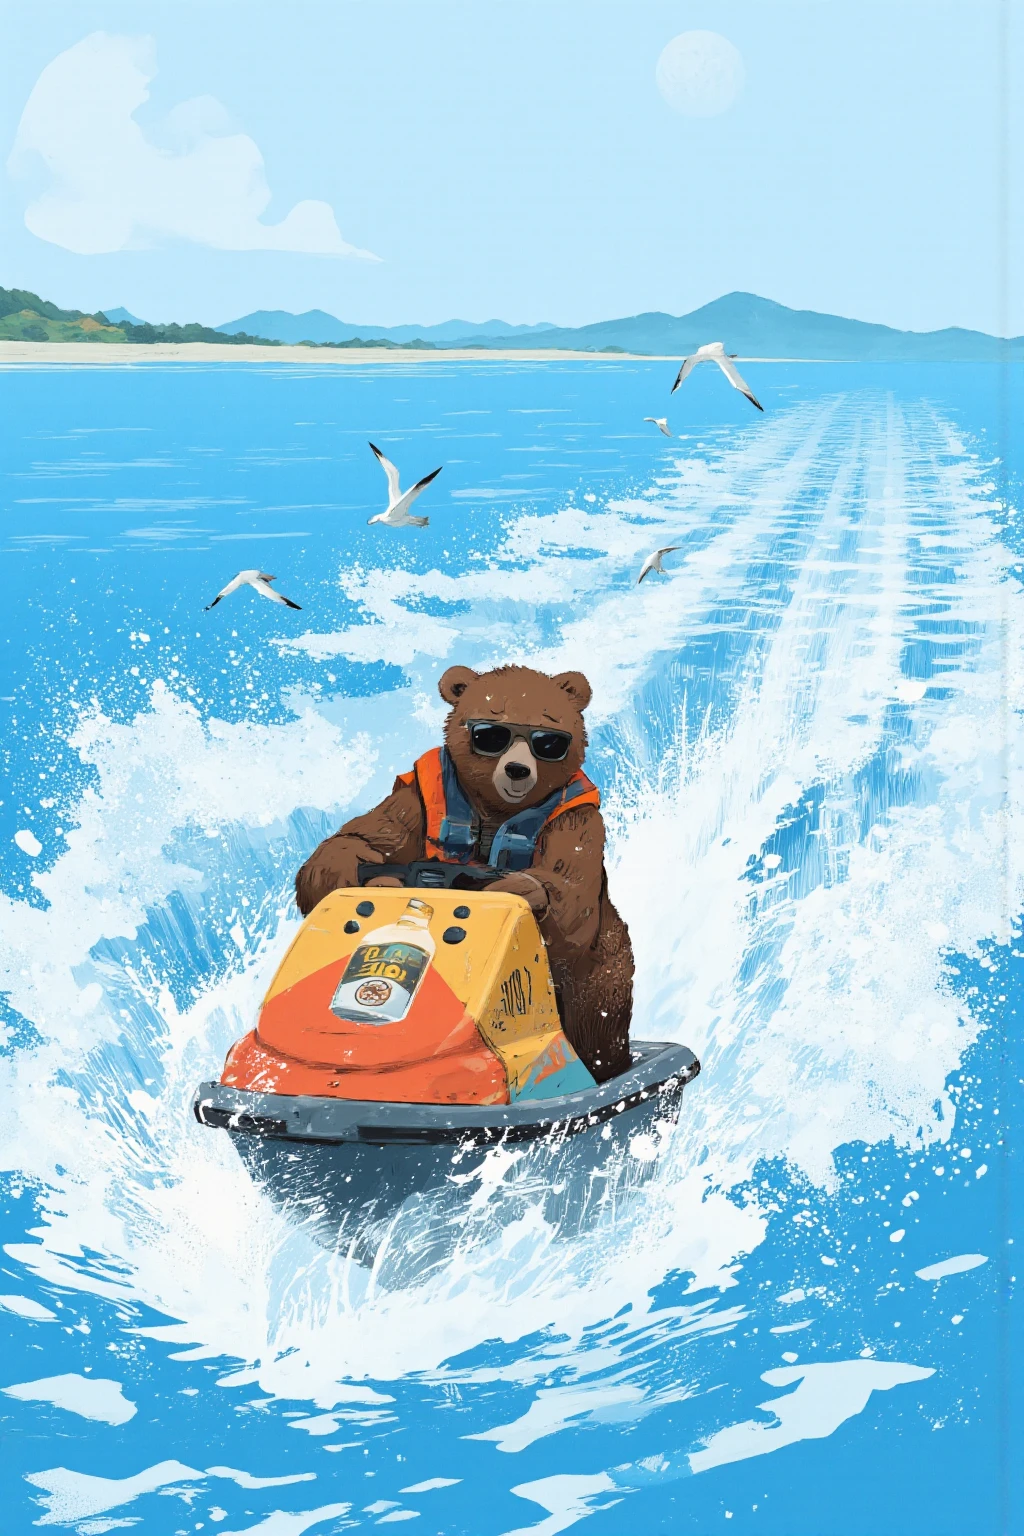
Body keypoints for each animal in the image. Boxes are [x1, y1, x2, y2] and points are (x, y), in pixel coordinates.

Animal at [294, 664, 634, 1082]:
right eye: (491, 733)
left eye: (549, 739)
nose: (518, 769)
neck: (495, 813)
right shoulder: (413, 795)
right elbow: (361, 837)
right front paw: (375, 879)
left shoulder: (577, 820)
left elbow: (572, 897)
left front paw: (520, 888)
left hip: (606, 966)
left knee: (599, 1012)